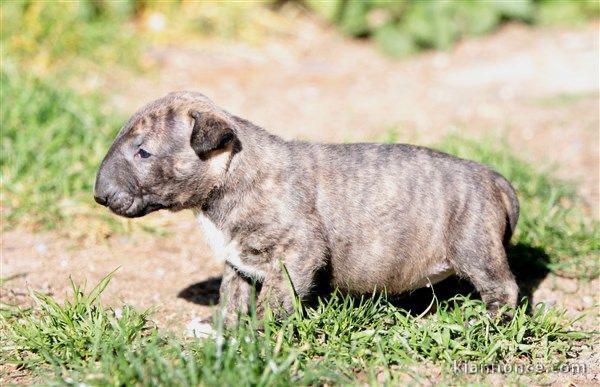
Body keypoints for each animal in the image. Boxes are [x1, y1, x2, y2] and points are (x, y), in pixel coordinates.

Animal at [95, 91, 520, 328]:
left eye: (143, 152)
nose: (98, 195)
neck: (233, 175)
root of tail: (494, 178)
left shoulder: (297, 252)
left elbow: (273, 300)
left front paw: (259, 337)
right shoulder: (238, 261)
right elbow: (232, 294)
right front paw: (223, 329)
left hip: (474, 246)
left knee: (504, 288)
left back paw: (487, 323)